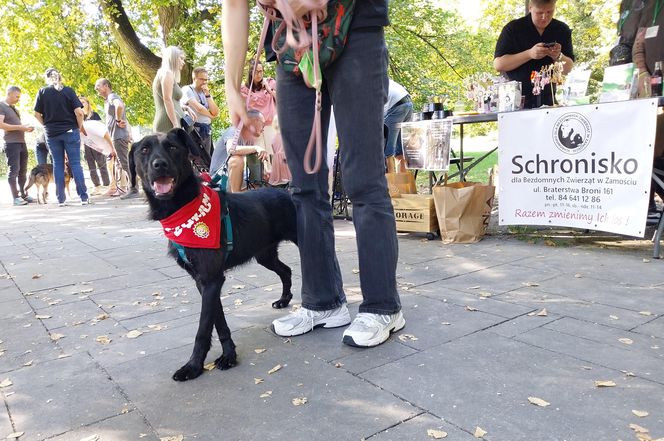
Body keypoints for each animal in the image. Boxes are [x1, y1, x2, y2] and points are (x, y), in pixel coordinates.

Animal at [130, 129, 296, 380]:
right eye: (144, 150)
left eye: (173, 148)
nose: (160, 165)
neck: (185, 210)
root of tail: (287, 192)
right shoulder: (204, 281)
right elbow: (217, 321)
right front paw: (229, 355)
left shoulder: (211, 279)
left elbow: (203, 327)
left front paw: (193, 366)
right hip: (265, 255)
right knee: (286, 270)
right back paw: (284, 300)